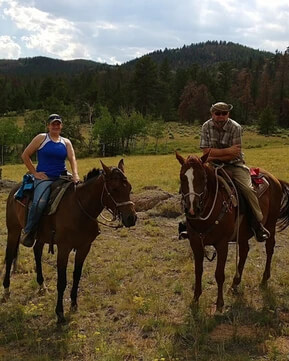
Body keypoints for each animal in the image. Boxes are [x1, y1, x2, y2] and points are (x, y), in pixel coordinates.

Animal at [1, 159, 136, 322]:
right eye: (115, 189)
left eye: (129, 187)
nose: (131, 218)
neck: (80, 209)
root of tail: (14, 190)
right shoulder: (64, 248)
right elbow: (62, 281)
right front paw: (60, 313)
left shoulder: (84, 247)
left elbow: (76, 276)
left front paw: (74, 305)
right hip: (13, 230)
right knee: (9, 257)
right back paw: (6, 290)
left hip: (40, 236)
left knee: (37, 252)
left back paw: (41, 285)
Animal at [176, 150, 289, 310]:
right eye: (182, 177)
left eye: (203, 177)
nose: (192, 209)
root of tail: (275, 179)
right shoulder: (196, 243)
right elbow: (198, 271)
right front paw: (195, 299)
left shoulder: (222, 244)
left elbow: (219, 274)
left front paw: (219, 304)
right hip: (242, 233)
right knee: (244, 251)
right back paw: (235, 284)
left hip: (271, 224)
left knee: (269, 248)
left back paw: (264, 279)